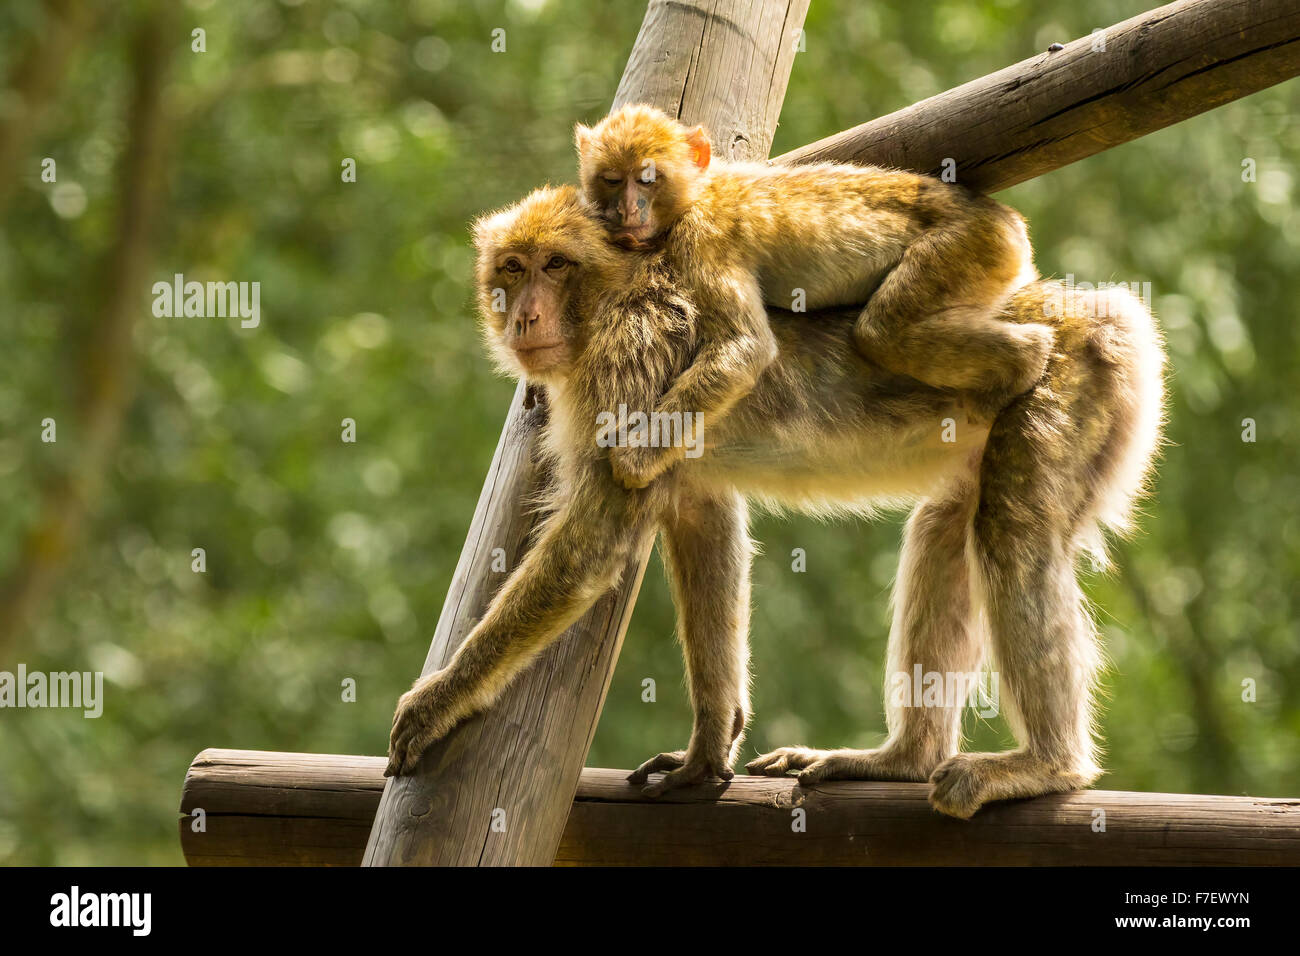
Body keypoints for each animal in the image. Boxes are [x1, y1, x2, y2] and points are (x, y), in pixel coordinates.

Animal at [386, 184, 1165, 820]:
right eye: (512, 269)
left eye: (554, 266)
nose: (522, 316)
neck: (613, 295)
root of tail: (1098, 310)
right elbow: (702, 521)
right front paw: (706, 748)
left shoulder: (625, 361)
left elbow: (594, 544)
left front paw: (441, 697)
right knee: (947, 529)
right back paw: (903, 758)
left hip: (1074, 381)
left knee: (1011, 531)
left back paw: (1048, 765)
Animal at [574, 104, 1052, 490]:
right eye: (612, 180)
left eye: (647, 179)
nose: (627, 209)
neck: (696, 194)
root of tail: (1007, 219)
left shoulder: (703, 238)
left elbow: (745, 347)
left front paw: (634, 461)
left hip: (971, 244)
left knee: (883, 331)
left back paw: (1026, 358)